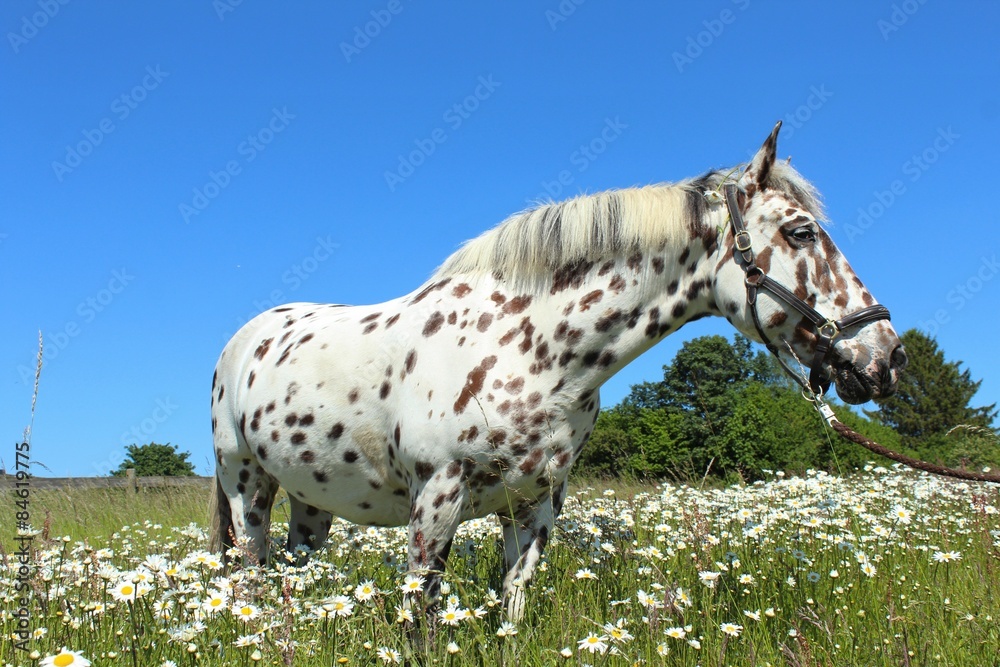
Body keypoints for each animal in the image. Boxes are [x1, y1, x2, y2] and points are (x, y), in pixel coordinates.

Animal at [209, 122, 908, 624]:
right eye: (801, 232)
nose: (887, 358)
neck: (531, 350)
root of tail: (241, 341)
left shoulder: (535, 504)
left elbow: (513, 609)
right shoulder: (435, 500)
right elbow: (422, 618)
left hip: (310, 502)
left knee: (296, 572)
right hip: (246, 487)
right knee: (250, 572)